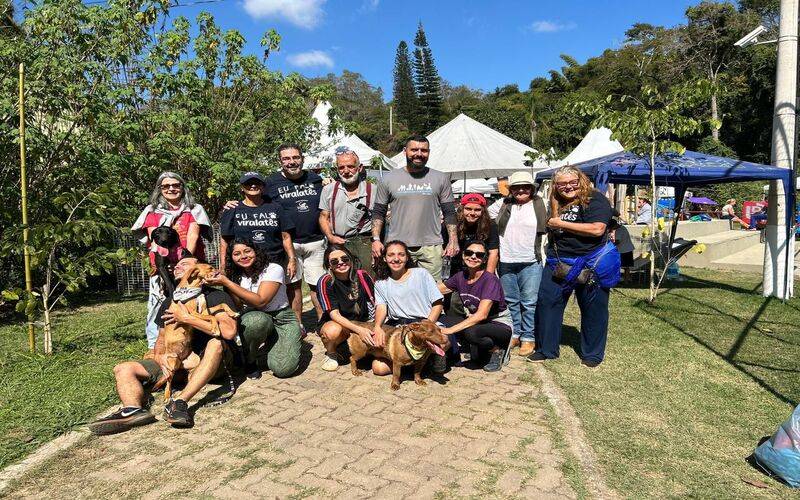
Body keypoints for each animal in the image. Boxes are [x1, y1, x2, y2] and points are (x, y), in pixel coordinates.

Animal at [151, 264, 236, 400]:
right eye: (210, 268)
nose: (221, 272)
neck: (194, 289)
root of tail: (181, 362)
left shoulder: (203, 310)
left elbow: (221, 305)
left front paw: (232, 313)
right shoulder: (193, 314)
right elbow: (212, 317)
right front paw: (215, 329)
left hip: (194, 362)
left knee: (190, 377)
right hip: (172, 362)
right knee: (169, 381)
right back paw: (167, 395)